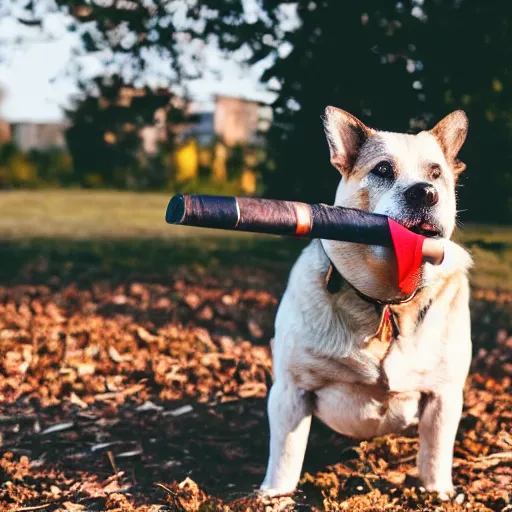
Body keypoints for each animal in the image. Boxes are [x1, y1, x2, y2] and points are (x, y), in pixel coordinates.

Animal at [260, 107, 472, 500]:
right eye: (383, 170)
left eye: (436, 174)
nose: (425, 192)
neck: (386, 302)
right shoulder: (290, 391)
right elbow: (285, 454)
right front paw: (274, 495)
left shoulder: (444, 396)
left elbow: (435, 453)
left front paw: (437, 493)